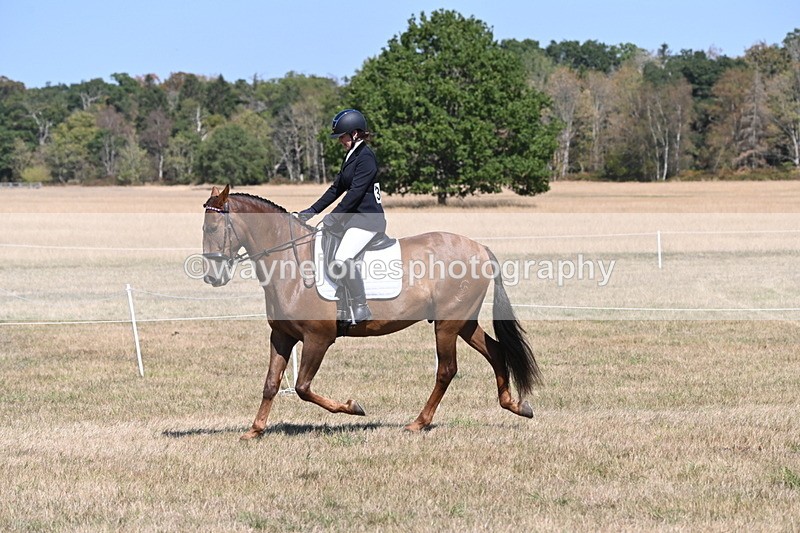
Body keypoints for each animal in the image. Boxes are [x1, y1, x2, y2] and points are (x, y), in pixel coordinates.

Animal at [201, 185, 541, 439]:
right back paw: (515, 405)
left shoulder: (318, 338)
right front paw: (254, 430)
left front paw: (353, 407)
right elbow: (272, 383)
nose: (212, 278)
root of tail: (480, 248)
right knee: (495, 351)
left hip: (447, 324)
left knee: (446, 370)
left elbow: (302, 387)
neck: (291, 264)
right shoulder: (282, 336)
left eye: (213, 227)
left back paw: (418, 423)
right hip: (463, 321)